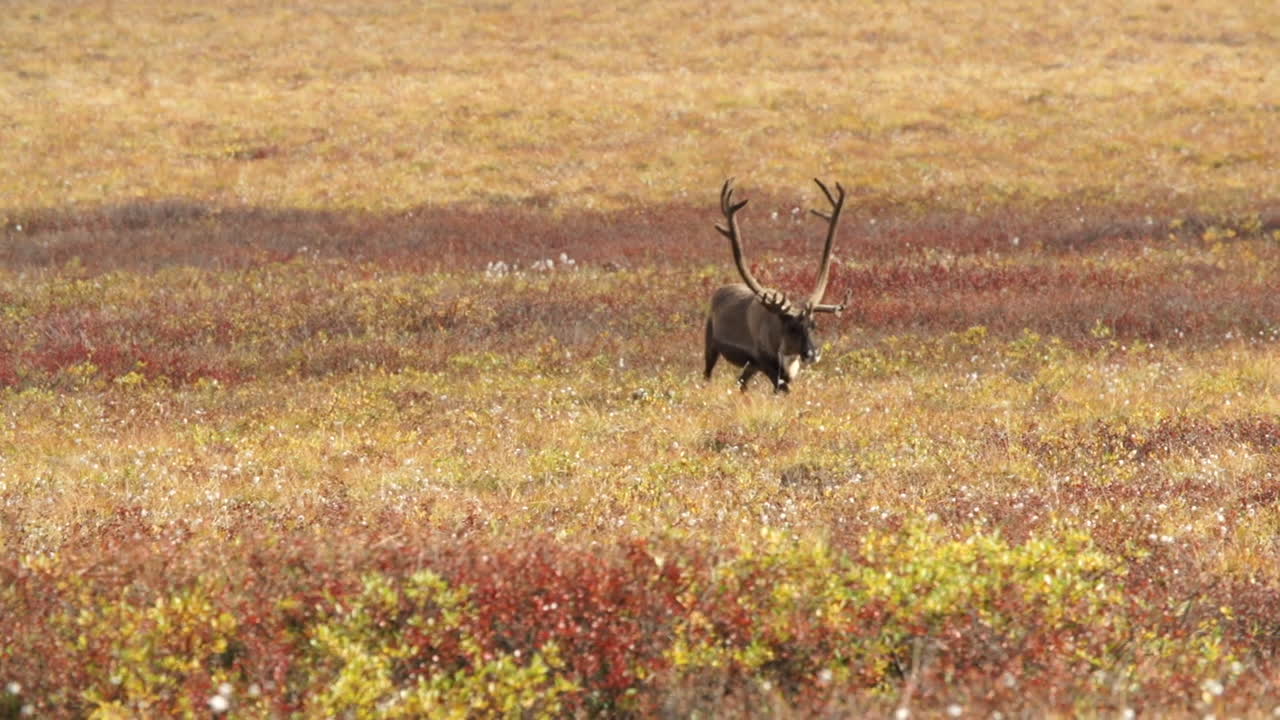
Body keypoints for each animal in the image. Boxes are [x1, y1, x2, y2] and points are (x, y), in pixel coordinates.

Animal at [703, 178, 851, 393]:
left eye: (814, 325)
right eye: (791, 328)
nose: (812, 354)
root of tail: (721, 290)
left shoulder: (781, 370)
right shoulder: (766, 363)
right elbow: (782, 389)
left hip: (750, 366)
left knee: (741, 382)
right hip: (711, 343)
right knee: (708, 372)